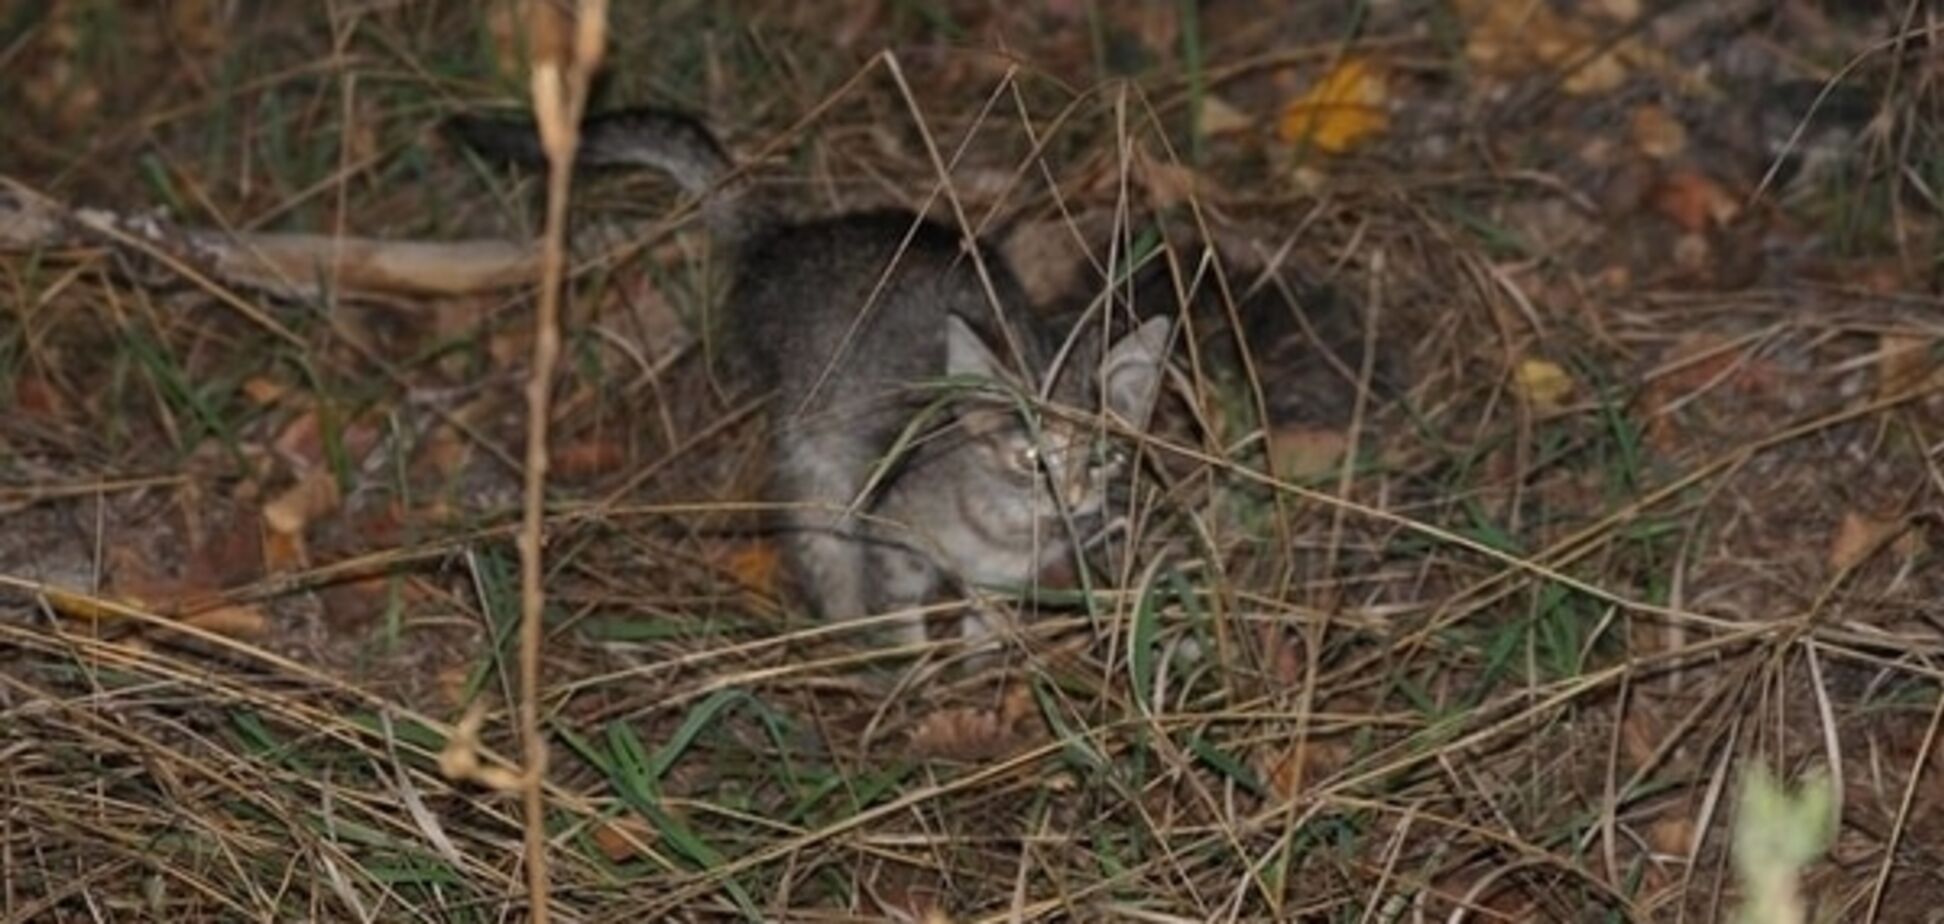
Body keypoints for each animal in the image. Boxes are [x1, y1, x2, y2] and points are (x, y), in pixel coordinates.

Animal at [451, 106, 1166, 641]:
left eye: (1101, 457)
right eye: (1032, 459)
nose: (1075, 498)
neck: (1006, 527)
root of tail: (783, 240)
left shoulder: (1004, 579)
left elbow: (987, 626)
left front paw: (981, 679)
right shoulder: (892, 539)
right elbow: (899, 621)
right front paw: (914, 687)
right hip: (815, 471)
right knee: (826, 557)